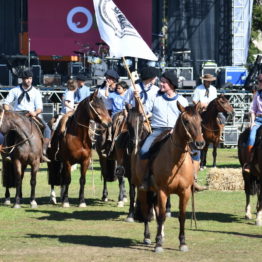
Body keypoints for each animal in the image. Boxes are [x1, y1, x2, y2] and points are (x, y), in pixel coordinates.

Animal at [133, 102, 205, 252]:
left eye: (201, 121)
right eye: (186, 121)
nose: (200, 144)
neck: (176, 161)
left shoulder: (185, 192)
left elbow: (181, 217)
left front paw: (182, 243)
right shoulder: (163, 191)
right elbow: (160, 217)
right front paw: (159, 244)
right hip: (143, 190)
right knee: (146, 211)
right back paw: (148, 237)